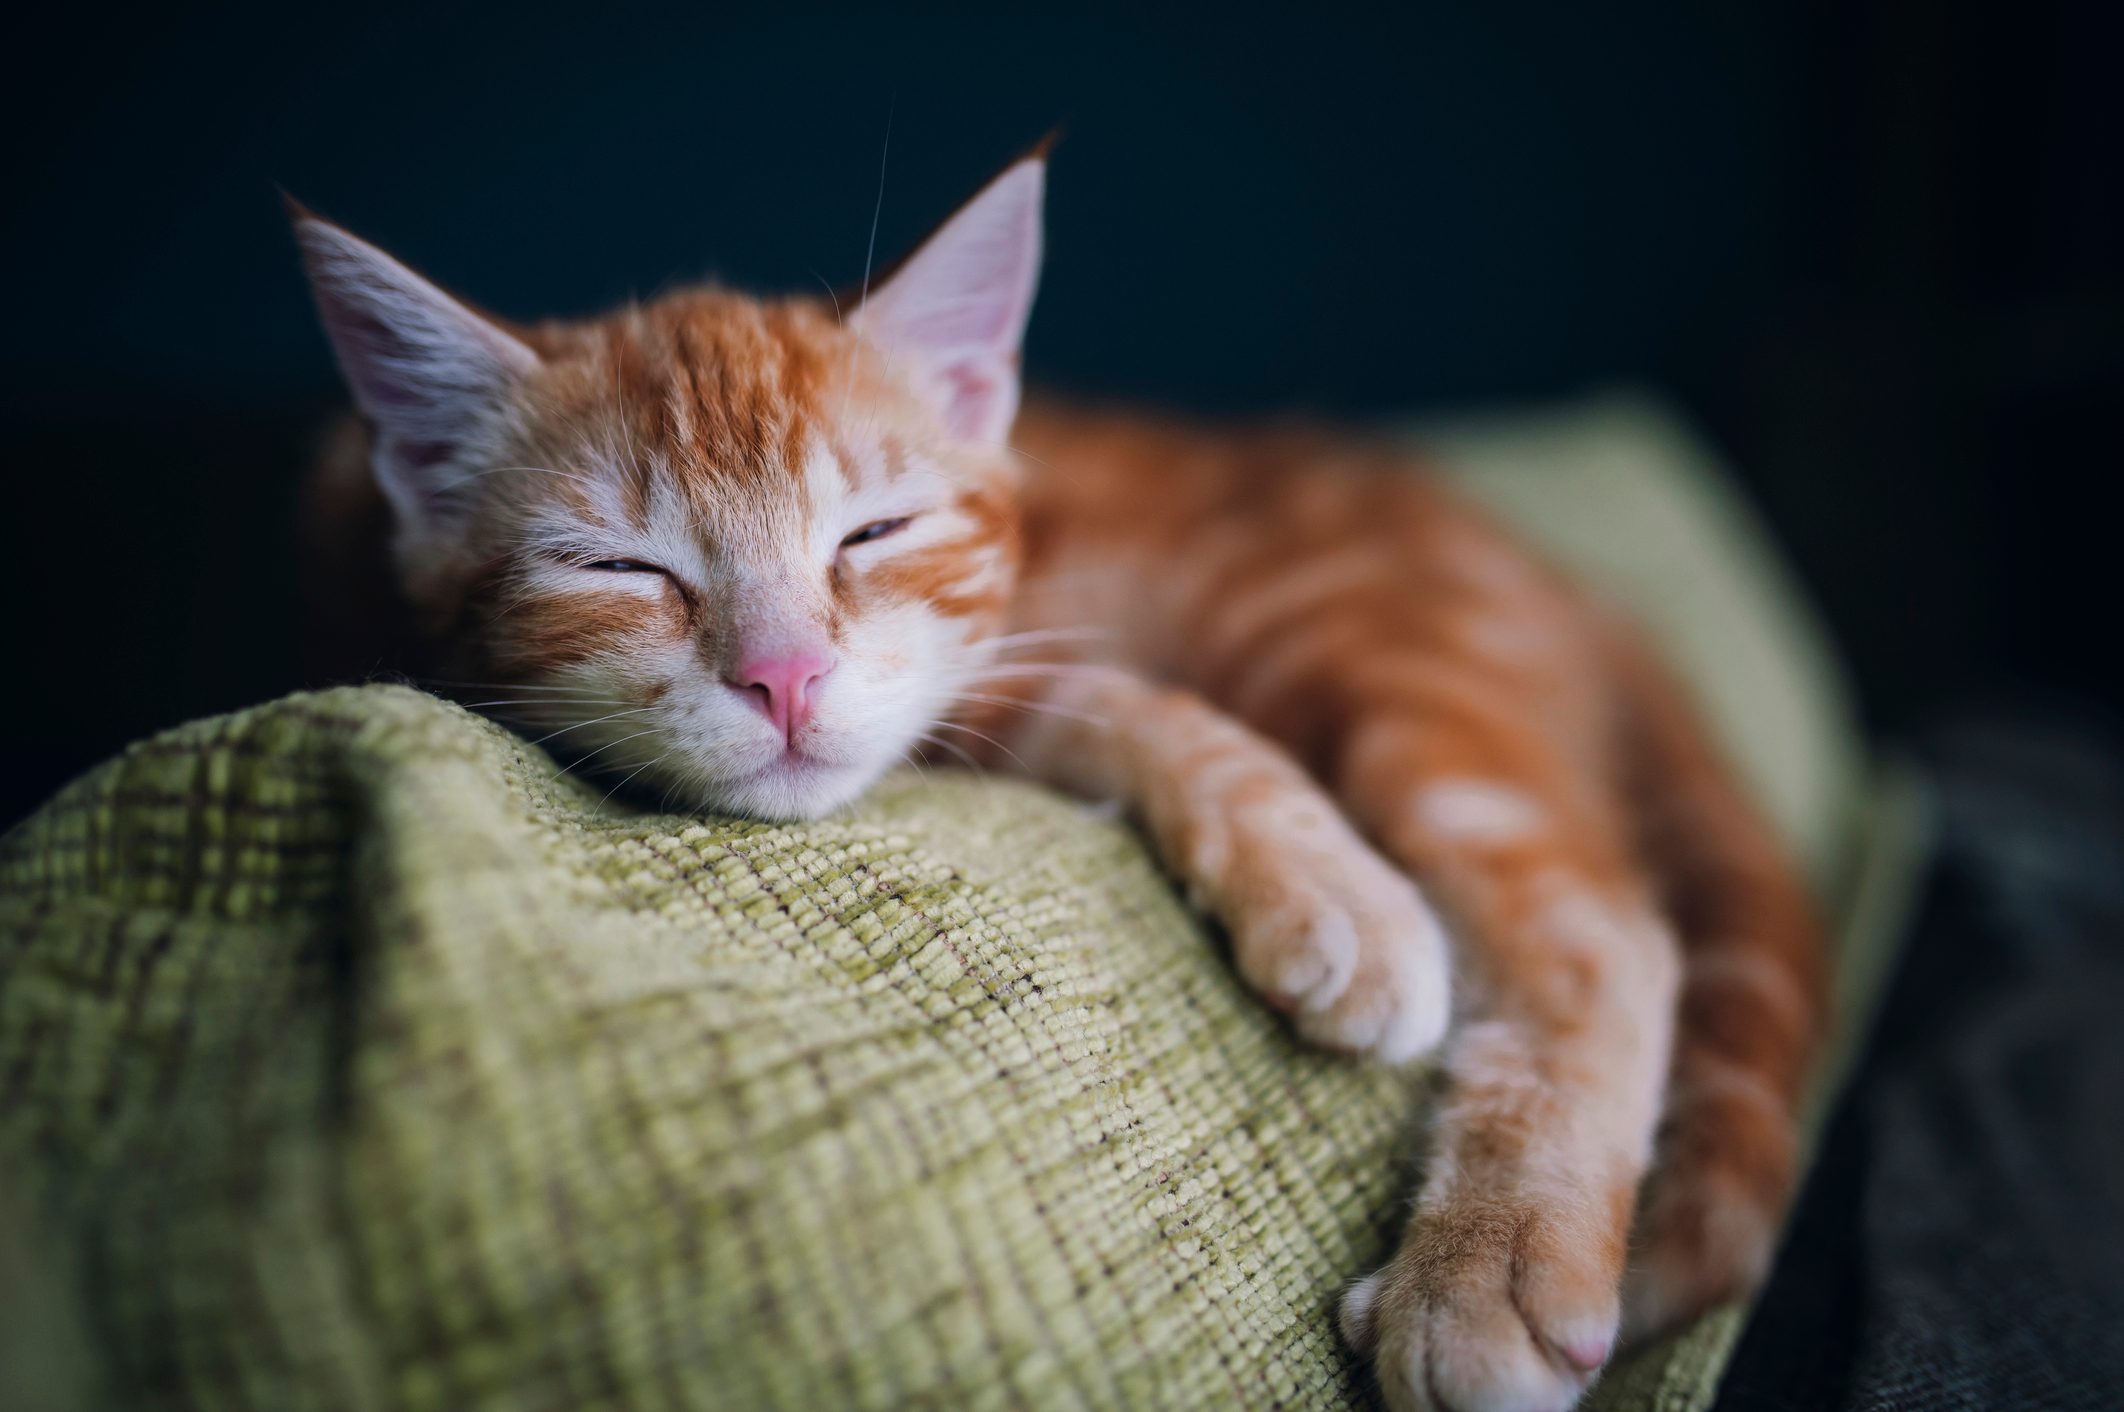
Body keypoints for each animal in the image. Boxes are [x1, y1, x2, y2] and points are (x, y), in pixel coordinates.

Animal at [295, 148, 1826, 1401]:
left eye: (874, 532)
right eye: (621, 567)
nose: (784, 675)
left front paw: (1346, 901)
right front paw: (1329, 881)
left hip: (1349, 642)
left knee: (1599, 921)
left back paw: (1488, 1263)